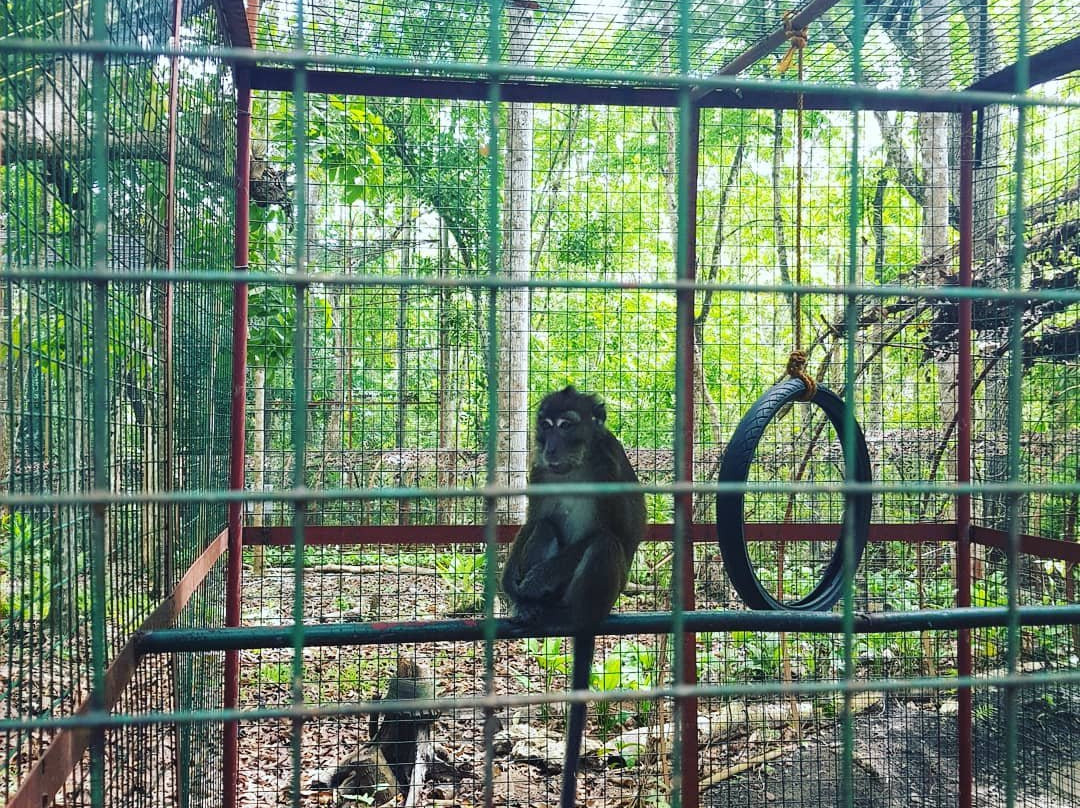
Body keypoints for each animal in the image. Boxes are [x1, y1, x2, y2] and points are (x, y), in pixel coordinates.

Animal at [501, 384, 643, 808]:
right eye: (545, 425)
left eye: (566, 425)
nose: (549, 446)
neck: (575, 466)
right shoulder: (538, 471)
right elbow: (534, 520)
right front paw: (513, 589)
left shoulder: (610, 466)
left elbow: (619, 533)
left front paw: (534, 582)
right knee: (547, 526)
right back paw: (532, 606)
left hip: (603, 593)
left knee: (605, 545)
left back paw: (569, 614)